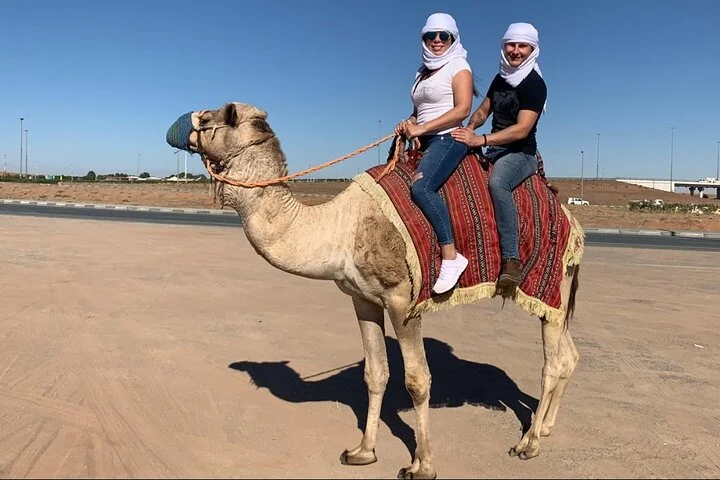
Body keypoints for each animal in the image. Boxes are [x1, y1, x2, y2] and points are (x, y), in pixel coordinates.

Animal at [166, 102, 582, 479]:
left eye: (209, 117)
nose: (175, 129)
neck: (338, 229)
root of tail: (571, 219)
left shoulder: (402, 300)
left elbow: (417, 379)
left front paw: (421, 466)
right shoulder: (362, 299)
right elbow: (375, 373)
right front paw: (363, 451)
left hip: (550, 285)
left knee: (552, 362)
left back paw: (528, 444)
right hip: (557, 296)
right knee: (570, 355)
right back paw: (545, 427)